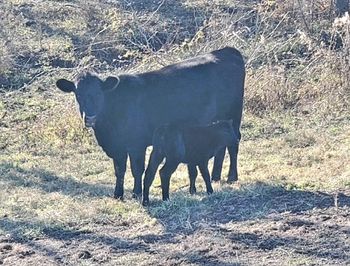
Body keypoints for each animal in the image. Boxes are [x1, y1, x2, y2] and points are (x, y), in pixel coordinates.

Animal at [56, 46, 245, 200]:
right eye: (78, 95)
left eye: (99, 94)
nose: (90, 117)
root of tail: (227, 51)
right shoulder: (117, 146)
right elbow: (119, 170)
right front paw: (118, 194)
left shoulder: (136, 144)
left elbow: (137, 169)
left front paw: (136, 193)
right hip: (219, 121)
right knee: (221, 145)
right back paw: (216, 176)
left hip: (234, 115)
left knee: (234, 142)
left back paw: (232, 176)